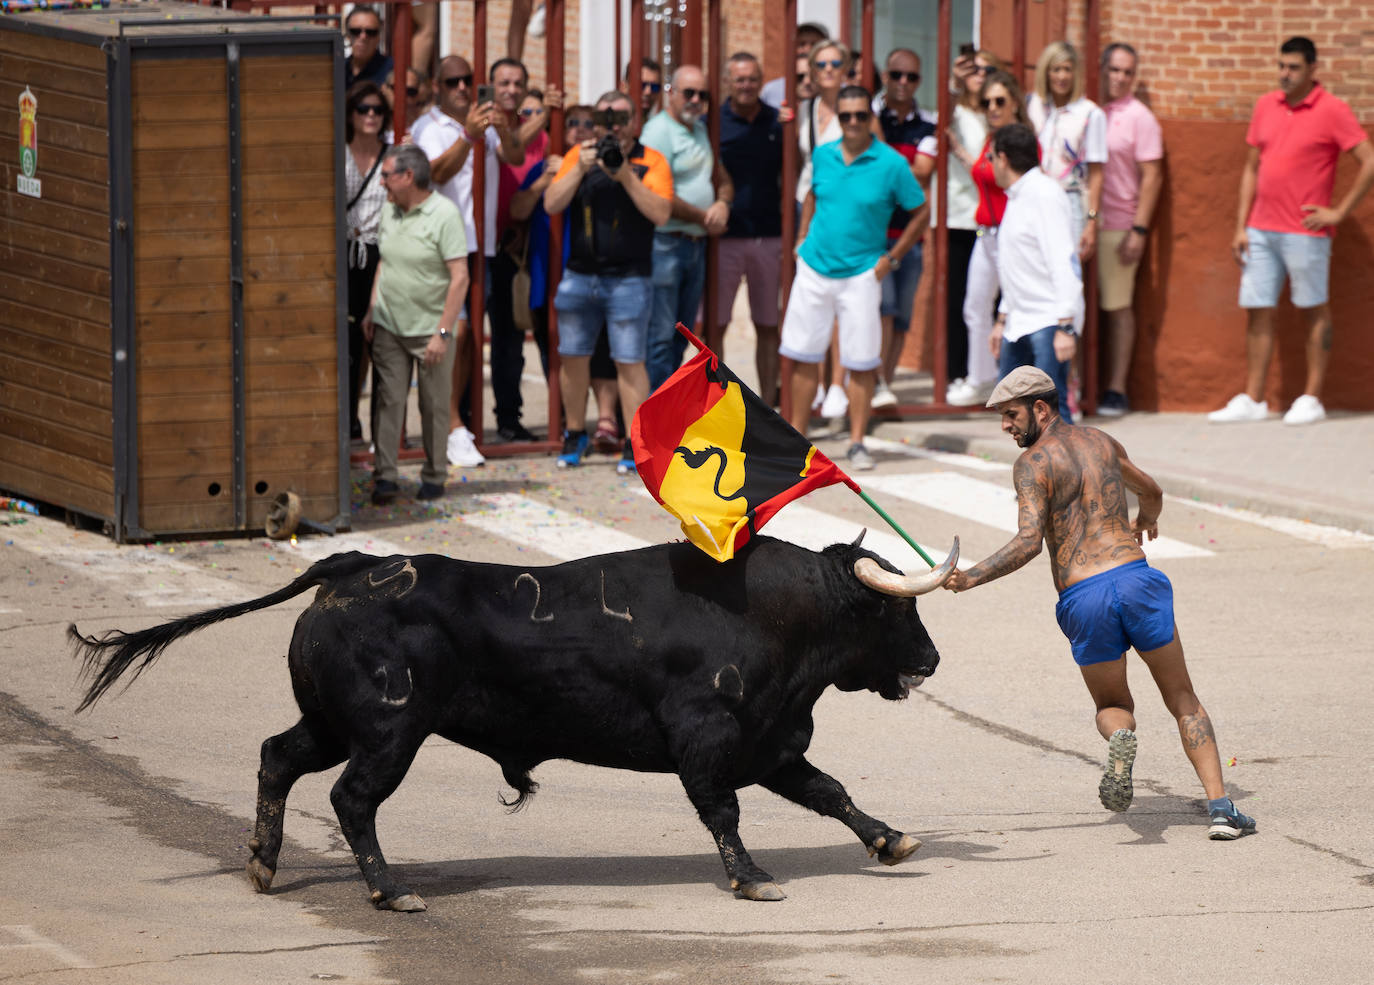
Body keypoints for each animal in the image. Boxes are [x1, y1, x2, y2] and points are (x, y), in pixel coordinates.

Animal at [69, 533, 956, 912]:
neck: (779, 618)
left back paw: (262, 861)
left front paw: (891, 839)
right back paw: (391, 891)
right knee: (353, 798)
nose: (934, 658)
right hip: (390, 732)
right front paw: (752, 879)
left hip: (331, 721)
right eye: (894, 607)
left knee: (277, 756)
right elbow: (724, 812)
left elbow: (830, 789)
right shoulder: (706, 739)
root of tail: (354, 566)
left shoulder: (771, 742)